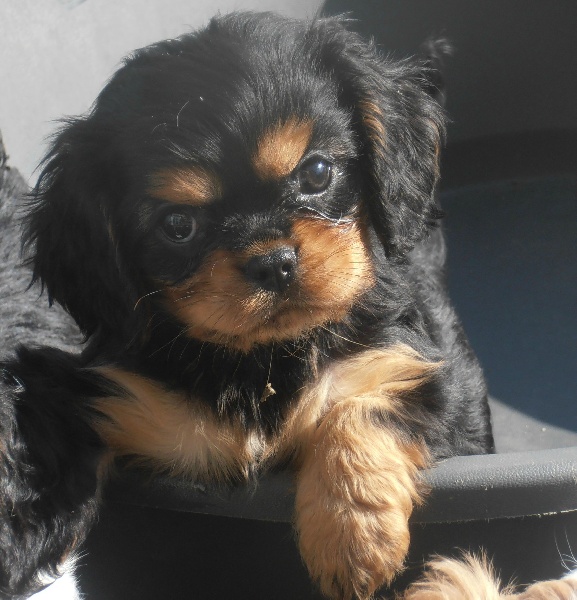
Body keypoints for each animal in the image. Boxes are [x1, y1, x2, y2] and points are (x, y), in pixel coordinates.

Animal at [0, 12, 495, 599]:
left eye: (317, 173)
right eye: (177, 225)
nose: (273, 263)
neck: (259, 359)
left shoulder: (425, 373)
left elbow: (362, 405)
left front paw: (352, 539)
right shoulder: (112, 397)